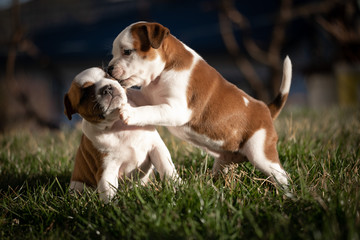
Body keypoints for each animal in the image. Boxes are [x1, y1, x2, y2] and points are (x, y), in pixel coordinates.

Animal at [64, 67, 180, 202]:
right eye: (85, 94)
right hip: (78, 185)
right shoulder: (107, 168)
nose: (107, 88)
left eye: (108, 76)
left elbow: (167, 168)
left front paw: (177, 187)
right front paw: (110, 205)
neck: (117, 124)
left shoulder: (156, 148)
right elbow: (107, 190)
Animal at [107, 21, 292, 189]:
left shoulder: (176, 110)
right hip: (225, 160)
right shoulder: (148, 96)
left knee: (282, 176)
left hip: (261, 154)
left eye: (127, 52)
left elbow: (151, 110)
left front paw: (130, 113)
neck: (165, 67)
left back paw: (288, 195)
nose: (109, 68)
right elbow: (141, 100)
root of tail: (266, 109)